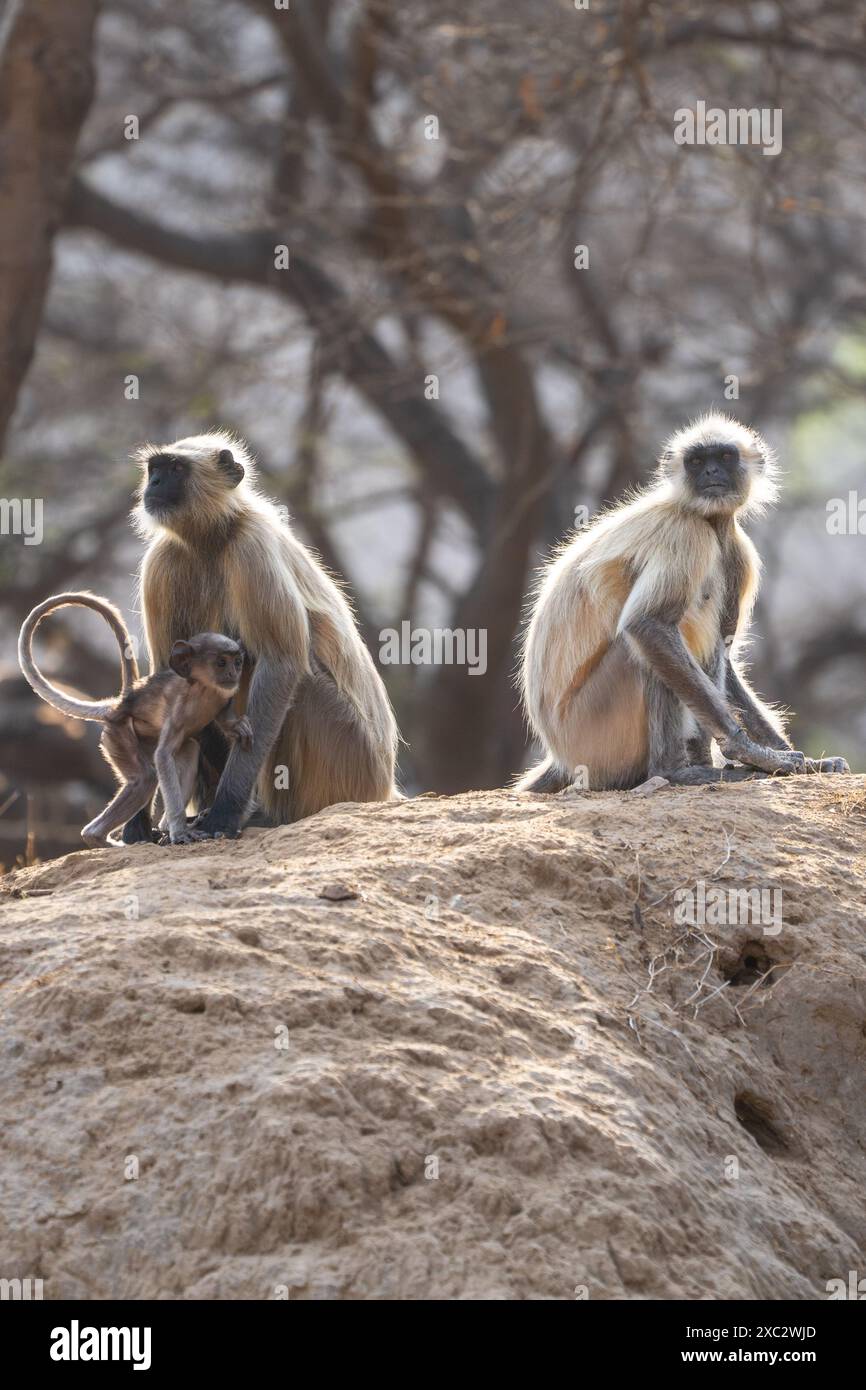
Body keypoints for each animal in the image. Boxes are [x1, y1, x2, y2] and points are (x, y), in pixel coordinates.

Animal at [18, 589, 252, 845]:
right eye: (221, 663)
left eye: (237, 662)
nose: (233, 673)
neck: (203, 689)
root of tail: (118, 707)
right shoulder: (179, 708)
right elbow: (162, 757)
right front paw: (179, 832)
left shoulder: (222, 696)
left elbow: (221, 716)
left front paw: (235, 726)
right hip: (118, 734)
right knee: (146, 777)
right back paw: (101, 836)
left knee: (189, 748)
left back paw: (165, 826)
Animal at [517, 411, 850, 795]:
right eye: (696, 461)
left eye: (724, 457)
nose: (711, 473)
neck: (708, 519)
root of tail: (560, 755)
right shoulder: (686, 533)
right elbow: (647, 624)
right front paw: (753, 753)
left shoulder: (738, 551)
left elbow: (725, 650)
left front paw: (799, 759)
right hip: (592, 734)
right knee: (645, 645)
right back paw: (676, 771)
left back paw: (702, 764)